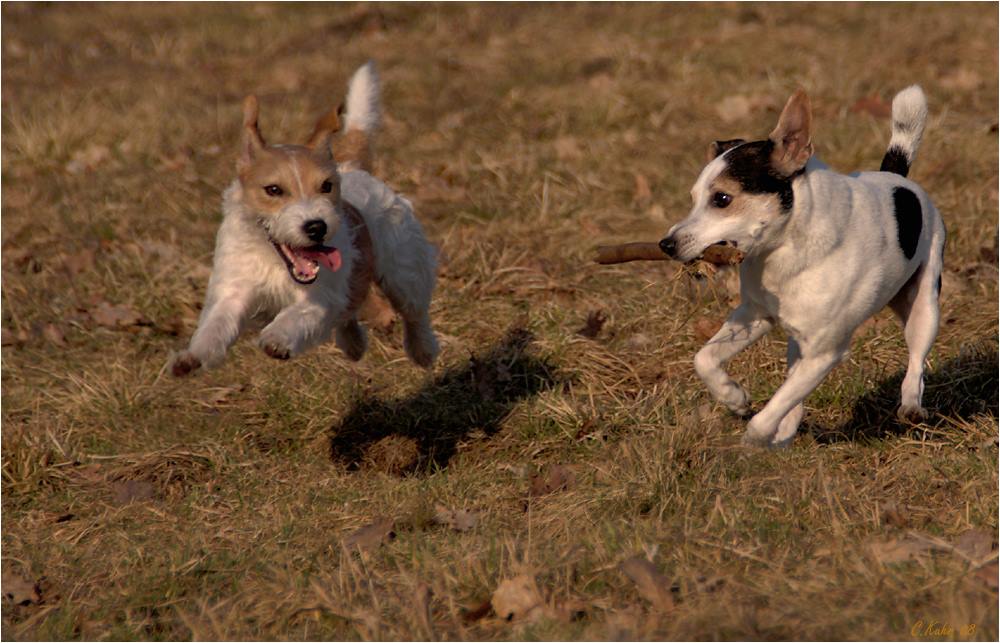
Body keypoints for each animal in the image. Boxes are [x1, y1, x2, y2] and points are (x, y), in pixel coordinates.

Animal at [664, 87, 944, 448]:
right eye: (693, 199)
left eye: (722, 199)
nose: (666, 244)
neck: (785, 251)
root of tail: (896, 177)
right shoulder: (756, 314)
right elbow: (705, 359)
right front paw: (733, 397)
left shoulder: (826, 353)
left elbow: (766, 415)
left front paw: (752, 441)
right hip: (797, 341)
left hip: (924, 307)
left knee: (916, 361)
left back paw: (910, 404)